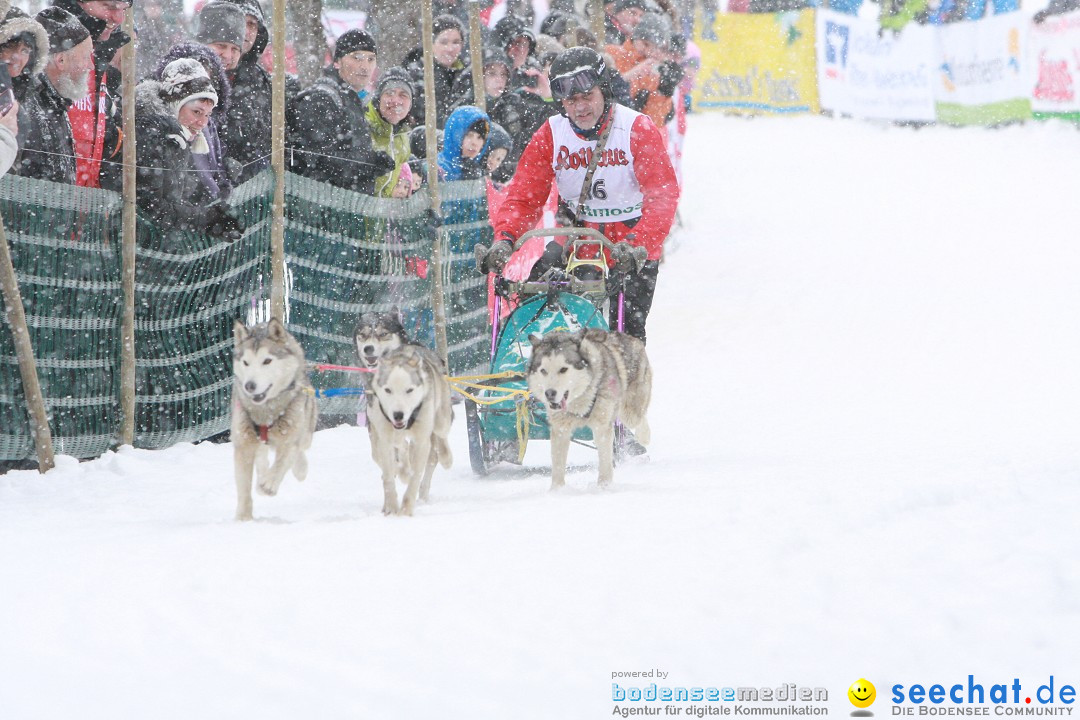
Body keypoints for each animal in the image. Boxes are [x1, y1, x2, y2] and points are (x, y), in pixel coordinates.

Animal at [234, 317, 317, 520]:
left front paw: (269, 484)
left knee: (299, 451)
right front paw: (243, 518)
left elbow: (284, 459)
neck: (267, 411)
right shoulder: (243, 443)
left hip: (306, 429)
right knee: (262, 456)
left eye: (267, 361)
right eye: (246, 362)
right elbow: (243, 487)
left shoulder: (291, 436)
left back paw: (299, 469)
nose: (249, 386)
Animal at [367, 345, 451, 515]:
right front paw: (391, 509)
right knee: (402, 449)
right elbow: (388, 477)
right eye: (388, 390)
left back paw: (446, 456)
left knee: (441, 436)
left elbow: (415, 477)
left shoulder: (421, 441)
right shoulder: (385, 440)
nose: (398, 415)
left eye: (409, 390)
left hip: (441, 420)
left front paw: (405, 511)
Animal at [524, 330, 648, 490]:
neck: (578, 403)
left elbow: (605, 461)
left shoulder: (602, 427)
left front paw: (603, 486)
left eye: (563, 369)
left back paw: (644, 436)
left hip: (629, 411)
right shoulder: (560, 429)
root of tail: (627, 336)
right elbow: (557, 465)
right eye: (543, 371)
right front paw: (557, 490)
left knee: (639, 418)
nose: (549, 393)